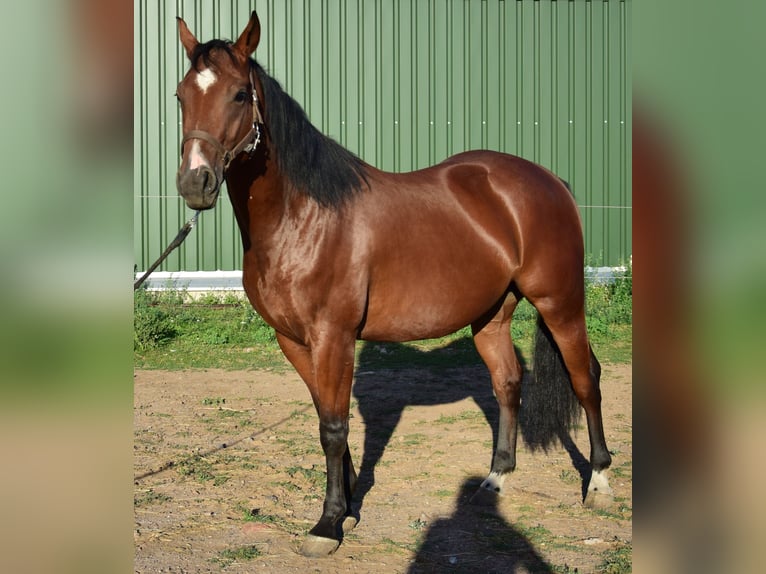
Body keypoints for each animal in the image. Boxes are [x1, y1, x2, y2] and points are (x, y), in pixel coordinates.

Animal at [174, 11, 613, 557]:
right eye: (180, 96)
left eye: (238, 94)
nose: (195, 183)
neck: (303, 217)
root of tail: (550, 181)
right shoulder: (294, 341)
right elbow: (328, 420)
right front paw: (347, 506)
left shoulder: (334, 337)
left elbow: (334, 427)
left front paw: (328, 525)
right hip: (492, 314)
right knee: (508, 383)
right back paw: (496, 478)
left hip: (560, 302)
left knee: (586, 378)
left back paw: (599, 482)